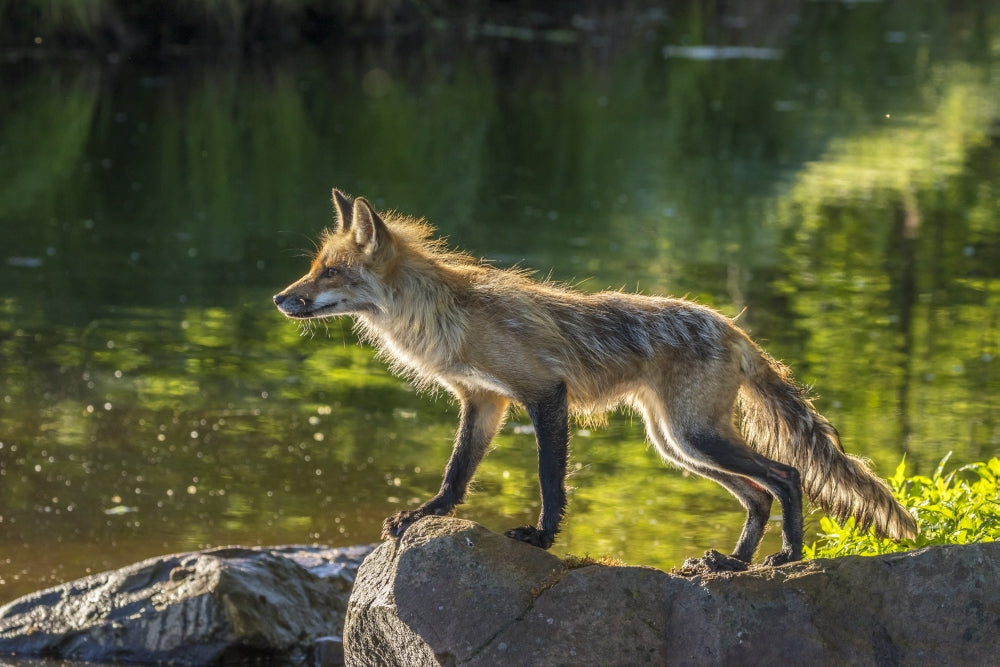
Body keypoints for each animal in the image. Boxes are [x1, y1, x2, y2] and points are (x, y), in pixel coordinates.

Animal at [273, 189, 917, 567]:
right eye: (314, 267)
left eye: (330, 272)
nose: (281, 299)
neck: (447, 318)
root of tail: (732, 327)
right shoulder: (483, 401)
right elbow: (456, 475)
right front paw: (423, 516)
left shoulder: (542, 393)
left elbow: (549, 481)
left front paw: (540, 538)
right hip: (676, 444)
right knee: (758, 494)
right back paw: (732, 564)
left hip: (694, 437)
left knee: (786, 476)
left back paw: (787, 557)